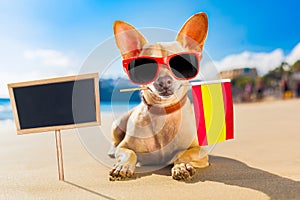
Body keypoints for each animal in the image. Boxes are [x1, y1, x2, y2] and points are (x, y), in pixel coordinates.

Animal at [108, 12, 209, 181]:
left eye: (180, 64)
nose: (164, 81)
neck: (163, 112)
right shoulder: (124, 147)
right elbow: (130, 153)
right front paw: (123, 166)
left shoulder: (201, 151)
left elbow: (182, 154)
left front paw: (181, 166)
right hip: (117, 124)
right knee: (115, 142)